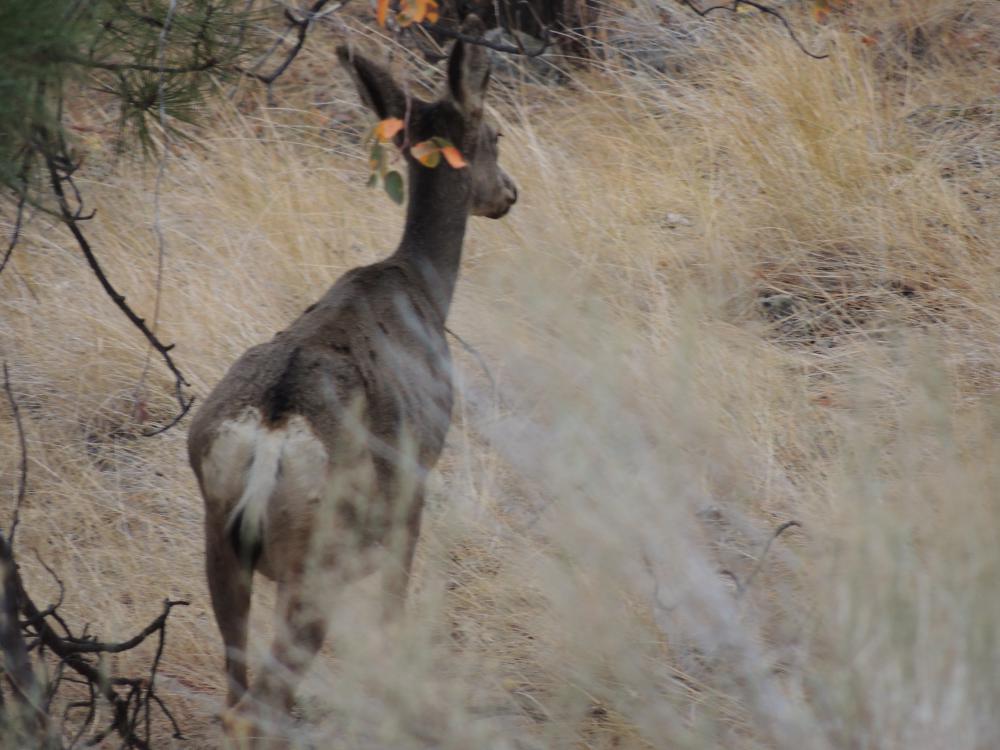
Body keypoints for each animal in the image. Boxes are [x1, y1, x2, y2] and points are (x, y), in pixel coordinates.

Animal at [186, 15, 517, 746]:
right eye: (496, 134)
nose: (510, 194)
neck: (424, 290)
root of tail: (272, 434)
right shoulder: (418, 479)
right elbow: (395, 607)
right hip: (317, 555)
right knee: (265, 700)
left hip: (221, 536)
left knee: (235, 696)